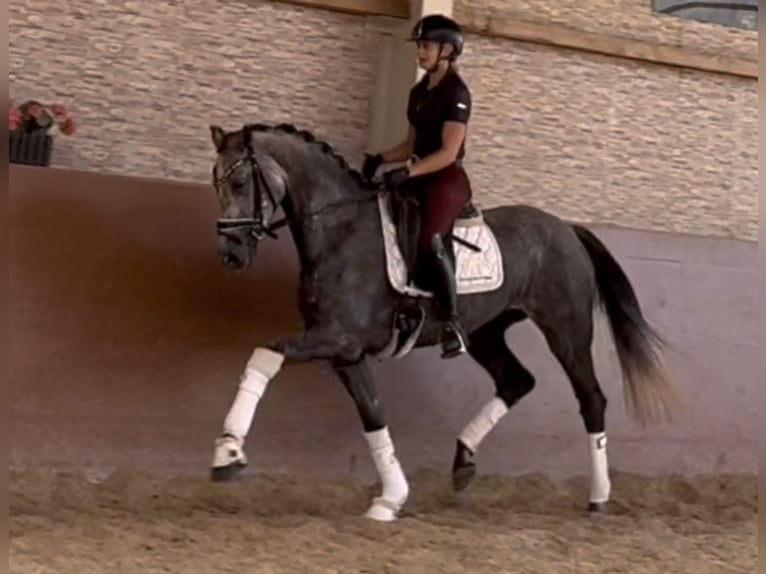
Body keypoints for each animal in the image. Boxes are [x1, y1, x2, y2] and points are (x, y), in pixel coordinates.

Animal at [206, 121, 680, 522]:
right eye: (215, 183)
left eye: (240, 182)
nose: (231, 256)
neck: (340, 230)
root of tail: (566, 228)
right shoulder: (346, 350)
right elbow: (373, 415)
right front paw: (390, 499)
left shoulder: (333, 338)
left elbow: (264, 355)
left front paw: (227, 453)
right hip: (486, 332)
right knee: (516, 382)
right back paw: (463, 461)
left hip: (567, 330)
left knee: (591, 400)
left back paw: (598, 498)